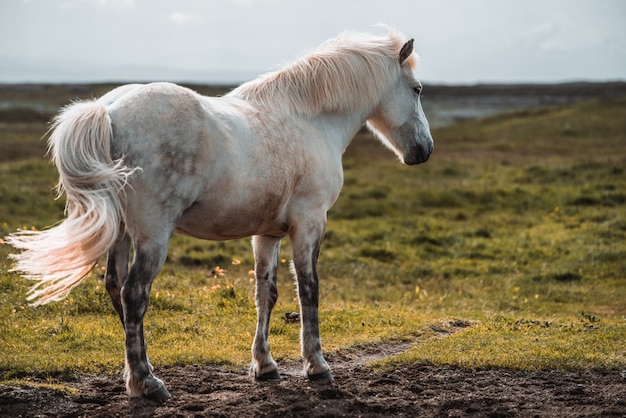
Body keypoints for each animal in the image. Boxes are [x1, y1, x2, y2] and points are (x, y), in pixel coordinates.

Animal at [4, 27, 432, 400]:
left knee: (114, 286)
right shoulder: (310, 223)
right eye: (417, 89)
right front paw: (316, 365)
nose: (424, 150)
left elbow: (266, 293)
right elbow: (309, 290)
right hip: (152, 234)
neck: (310, 120)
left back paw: (136, 376)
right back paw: (148, 384)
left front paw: (265, 366)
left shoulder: (268, 233)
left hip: (122, 232)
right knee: (134, 293)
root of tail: (107, 110)